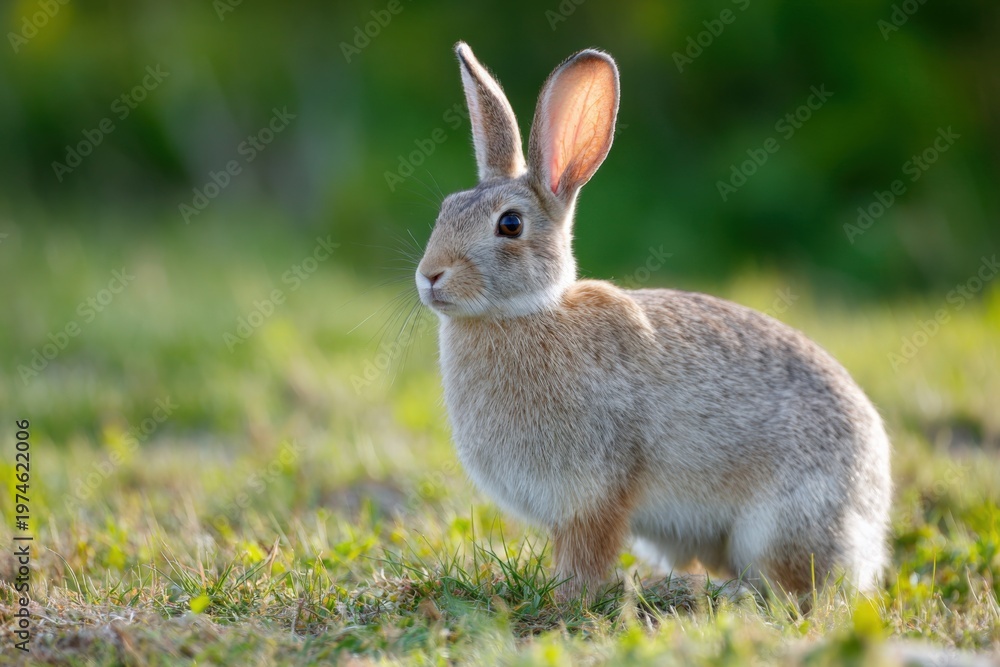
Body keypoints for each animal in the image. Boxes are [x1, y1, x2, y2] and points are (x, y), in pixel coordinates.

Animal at [415, 42, 892, 602]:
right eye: (446, 208)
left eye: (509, 224)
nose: (429, 275)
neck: (526, 312)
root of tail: (873, 520)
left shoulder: (595, 490)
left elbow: (587, 553)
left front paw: (568, 598)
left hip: (782, 520)